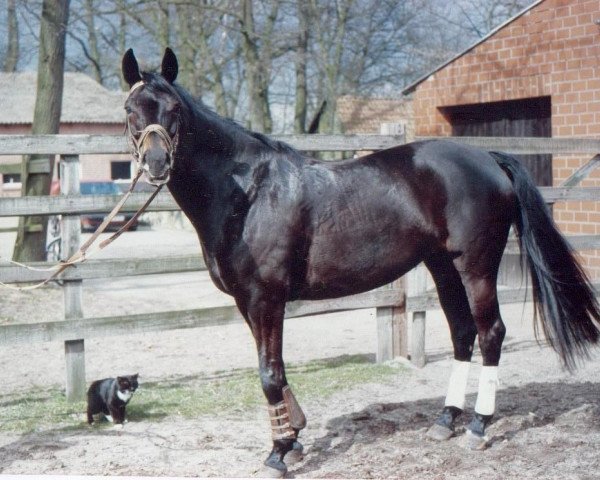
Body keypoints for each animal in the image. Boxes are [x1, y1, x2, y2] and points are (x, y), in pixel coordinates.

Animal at [122, 48, 600, 476]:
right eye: (130, 109)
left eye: (174, 108)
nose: (156, 163)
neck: (249, 193)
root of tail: (488, 158)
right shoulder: (248, 302)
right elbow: (274, 369)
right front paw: (294, 435)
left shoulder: (266, 298)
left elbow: (270, 373)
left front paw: (279, 453)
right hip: (442, 267)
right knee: (463, 334)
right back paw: (445, 420)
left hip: (476, 267)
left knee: (491, 334)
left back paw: (479, 427)